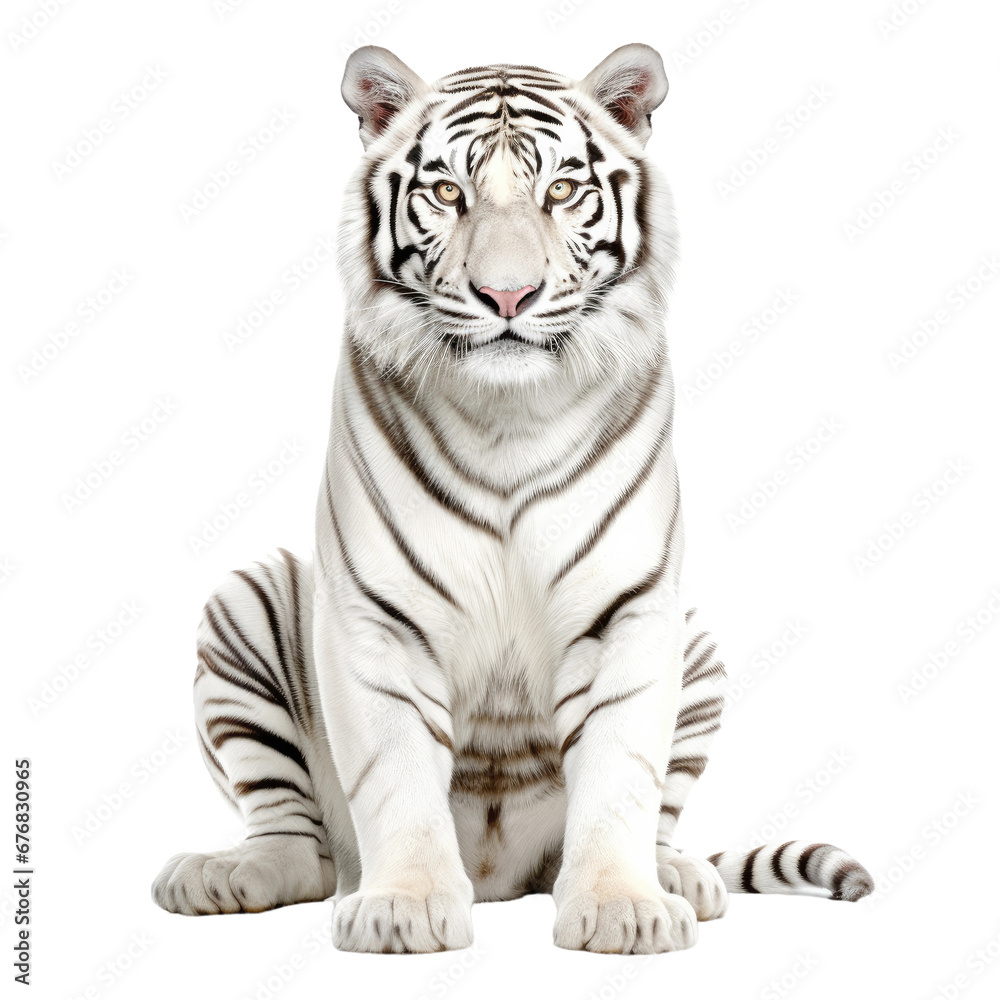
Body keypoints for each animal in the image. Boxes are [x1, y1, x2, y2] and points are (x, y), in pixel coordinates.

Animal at [152, 42, 872, 954]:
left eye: (560, 192)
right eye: (446, 193)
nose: (506, 296)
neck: (509, 416)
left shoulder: (630, 612)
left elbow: (622, 776)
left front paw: (623, 908)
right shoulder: (377, 617)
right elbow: (396, 773)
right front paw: (405, 907)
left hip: (697, 645)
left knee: (660, 819)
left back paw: (678, 876)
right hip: (245, 602)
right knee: (300, 849)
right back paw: (223, 875)